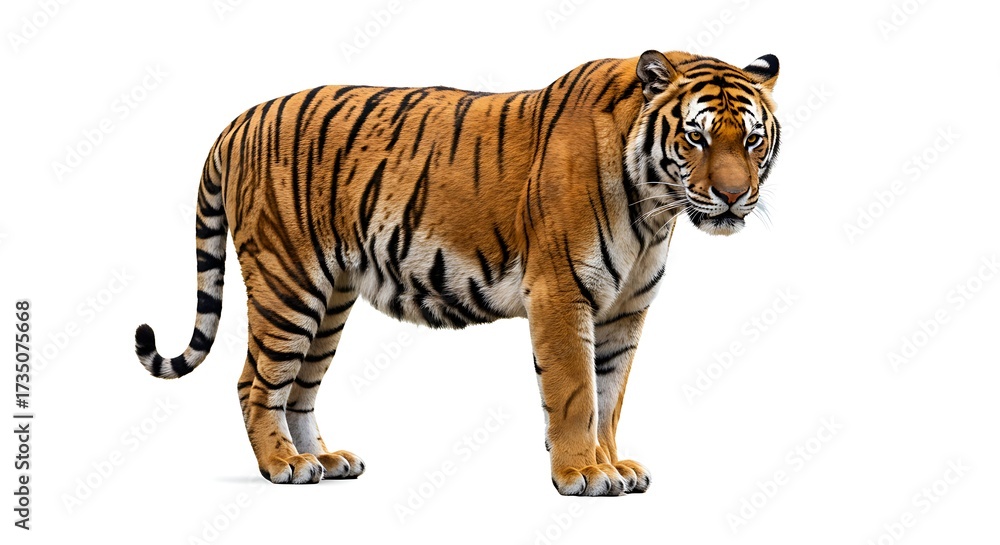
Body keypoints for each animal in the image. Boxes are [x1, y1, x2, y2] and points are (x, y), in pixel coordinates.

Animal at [134, 50, 781, 496]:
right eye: (695, 137)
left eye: (752, 140)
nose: (732, 197)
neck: (655, 210)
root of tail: (239, 120)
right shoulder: (561, 293)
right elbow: (575, 394)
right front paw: (581, 474)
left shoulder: (625, 311)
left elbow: (609, 395)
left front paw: (612, 464)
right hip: (287, 284)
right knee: (255, 383)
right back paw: (283, 465)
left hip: (330, 299)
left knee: (300, 389)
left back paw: (325, 460)